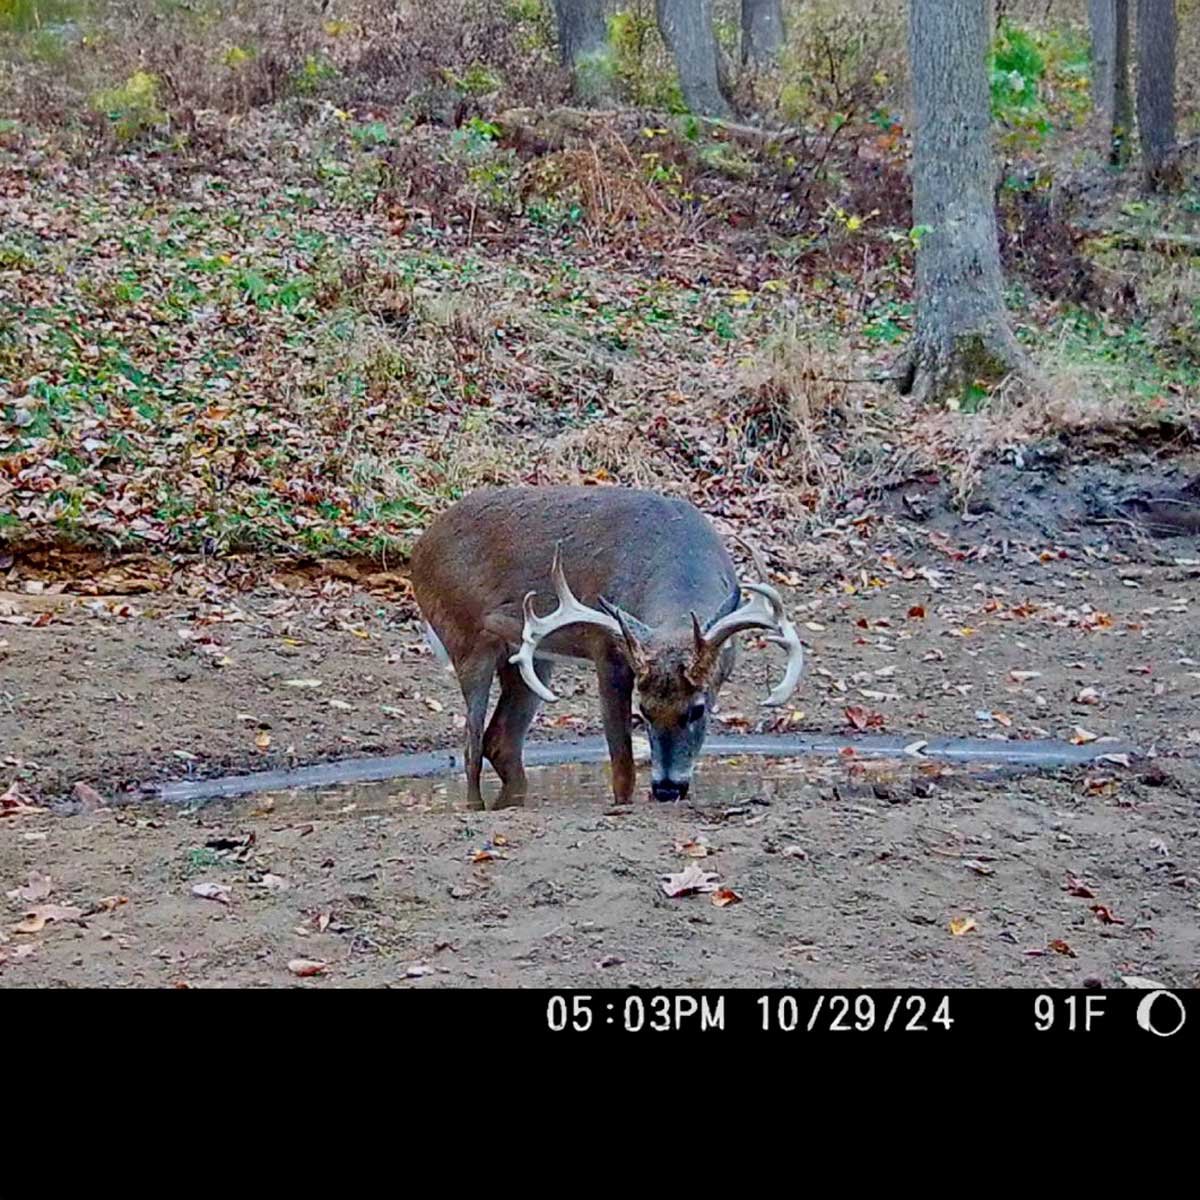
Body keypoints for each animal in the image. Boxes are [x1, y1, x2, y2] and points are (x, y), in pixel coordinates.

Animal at [409, 486, 804, 810]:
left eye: (697, 710)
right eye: (643, 711)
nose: (666, 789)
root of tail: (420, 548)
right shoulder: (608, 653)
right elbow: (622, 767)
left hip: (531, 659)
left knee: (500, 740)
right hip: (467, 640)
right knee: (472, 746)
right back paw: (475, 807)